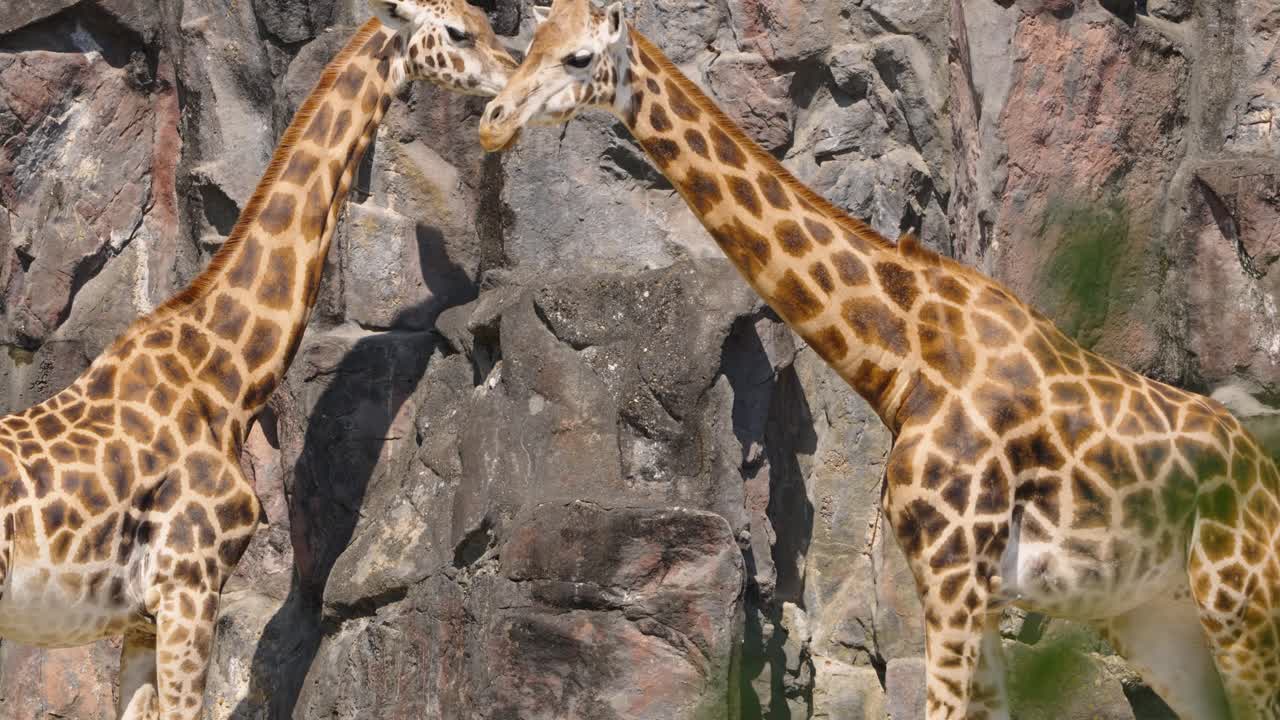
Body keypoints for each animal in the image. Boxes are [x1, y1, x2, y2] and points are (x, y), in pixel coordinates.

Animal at [477, 1, 1280, 717]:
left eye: (578, 57)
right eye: (528, 45)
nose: (492, 121)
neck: (900, 358)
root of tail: (1264, 474)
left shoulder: (956, 575)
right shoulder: (962, 583)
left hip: (1240, 599)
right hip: (1159, 619)